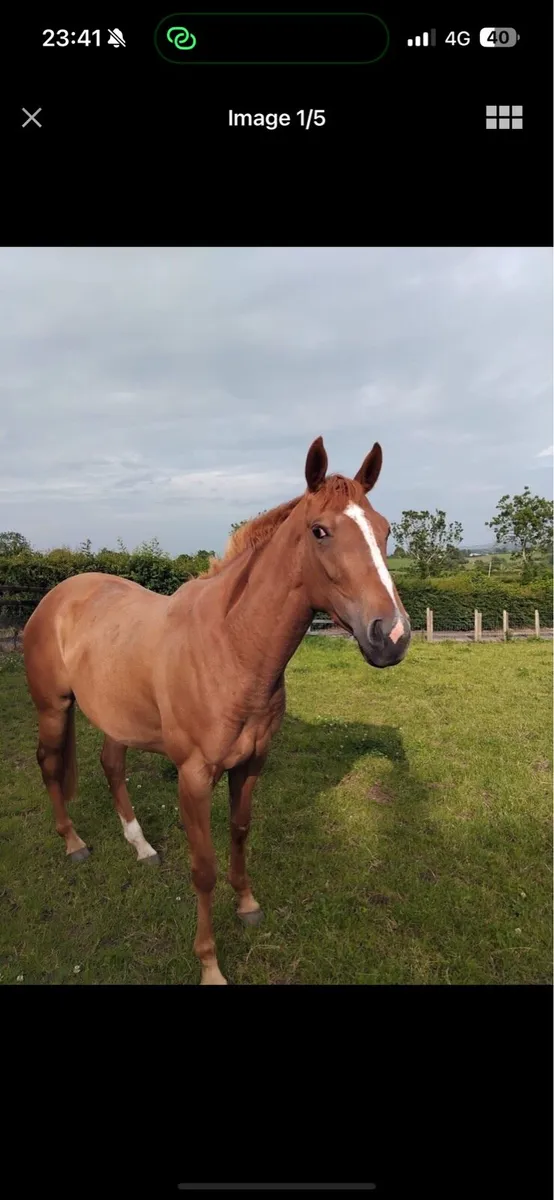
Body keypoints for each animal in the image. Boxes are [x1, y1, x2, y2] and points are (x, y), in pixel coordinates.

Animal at [23, 437, 411, 984]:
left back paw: (141, 847)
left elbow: (240, 832)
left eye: (385, 530)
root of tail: (58, 596)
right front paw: (209, 964)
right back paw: (74, 843)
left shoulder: (251, 763)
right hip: (54, 709)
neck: (231, 647)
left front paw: (247, 906)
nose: (391, 636)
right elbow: (202, 867)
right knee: (50, 764)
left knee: (111, 766)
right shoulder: (193, 776)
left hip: (116, 716)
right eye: (320, 531)